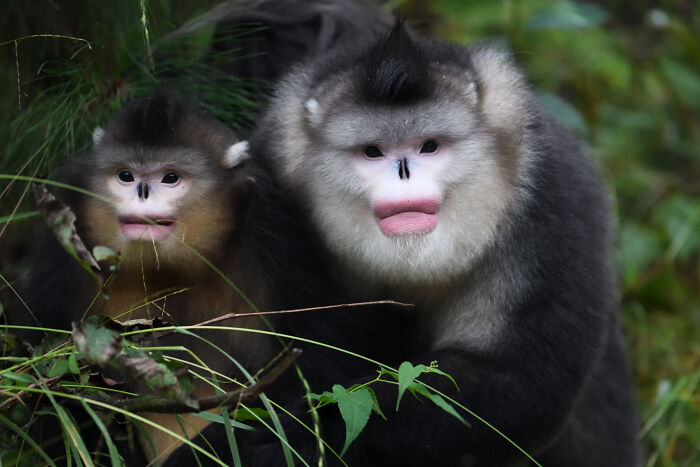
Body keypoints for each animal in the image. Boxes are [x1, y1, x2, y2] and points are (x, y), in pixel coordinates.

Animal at [24, 91, 392, 465]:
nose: (141, 191)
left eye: (170, 177)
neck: (166, 269)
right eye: (125, 175)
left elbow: (322, 365)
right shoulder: (68, 227)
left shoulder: (273, 229)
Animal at [169, 21, 638, 467]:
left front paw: (292, 436)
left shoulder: (552, 207)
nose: (403, 173)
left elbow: (518, 382)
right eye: (373, 152)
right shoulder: (270, 203)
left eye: (429, 146)